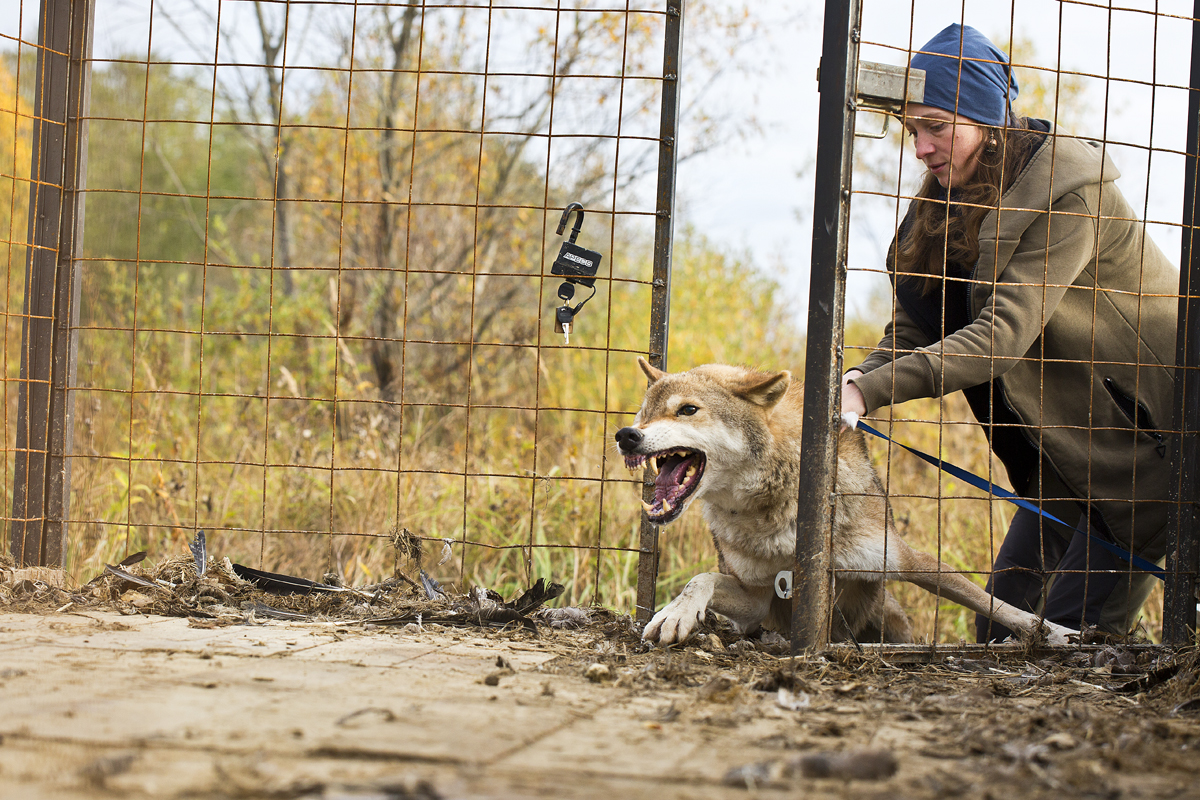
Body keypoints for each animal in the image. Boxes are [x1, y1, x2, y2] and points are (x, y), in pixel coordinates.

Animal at [614, 359, 1075, 647]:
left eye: (687, 410)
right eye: (643, 414)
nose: (626, 435)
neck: (779, 511)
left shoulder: (905, 559)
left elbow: (992, 602)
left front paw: (1054, 632)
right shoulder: (758, 599)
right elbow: (700, 579)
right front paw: (676, 614)